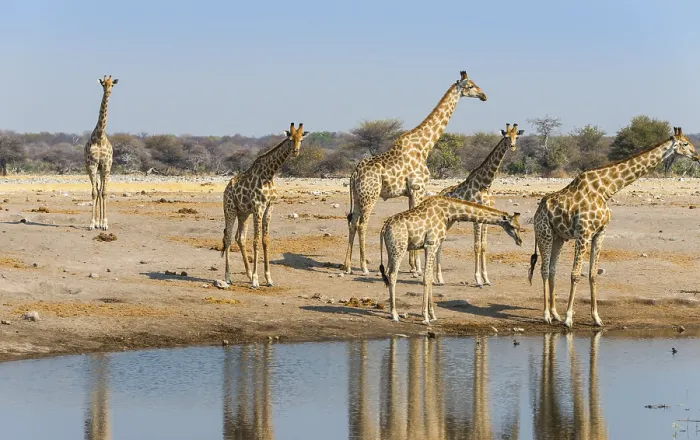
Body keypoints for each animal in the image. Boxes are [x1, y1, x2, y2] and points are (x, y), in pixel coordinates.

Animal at [221, 123, 309, 288]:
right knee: (228, 238)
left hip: (243, 213)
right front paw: (256, 280)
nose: (295, 152)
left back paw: (248, 275)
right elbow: (256, 241)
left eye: (301, 139)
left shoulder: (269, 208)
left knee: (240, 238)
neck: (269, 174)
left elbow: (265, 240)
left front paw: (268, 279)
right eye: (290, 140)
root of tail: (227, 188)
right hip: (230, 210)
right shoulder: (258, 207)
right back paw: (228, 277)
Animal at [343, 70, 487, 275]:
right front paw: (418, 268)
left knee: (352, 222)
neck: (424, 146)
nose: (484, 96)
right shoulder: (418, 187)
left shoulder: (411, 191)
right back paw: (363, 266)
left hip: (357, 196)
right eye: (470, 86)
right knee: (362, 224)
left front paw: (412, 265)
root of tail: (354, 175)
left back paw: (347, 265)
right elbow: (418, 221)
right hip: (369, 195)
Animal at [379, 196, 523, 324]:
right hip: (399, 248)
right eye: (512, 226)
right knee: (393, 275)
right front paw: (425, 317)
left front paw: (433, 315)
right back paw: (395, 315)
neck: (448, 212)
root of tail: (384, 228)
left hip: (391, 250)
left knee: (387, 273)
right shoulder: (431, 244)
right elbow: (426, 277)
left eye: (519, 226)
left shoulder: (432, 245)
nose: (520, 241)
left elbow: (430, 278)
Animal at [436, 123, 525, 286]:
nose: (513, 146)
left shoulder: (485, 219)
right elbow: (476, 246)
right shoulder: (477, 219)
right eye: (506, 137)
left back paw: (437, 278)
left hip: (450, 220)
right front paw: (478, 279)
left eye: (517, 136)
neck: (485, 184)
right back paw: (439, 278)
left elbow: (484, 246)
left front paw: (486, 279)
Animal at [528, 127, 698, 327]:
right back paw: (547, 315)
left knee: (553, 269)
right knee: (544, 269)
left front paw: (596, 317)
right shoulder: (584, 233)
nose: (697, 156)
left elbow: (593, 274)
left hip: (559, 237)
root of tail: (537, 211)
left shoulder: (600, 233)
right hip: (544, 233)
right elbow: (575, 274)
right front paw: (569, 318)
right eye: (685, 143)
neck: (606, 190)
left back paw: (555, 314)